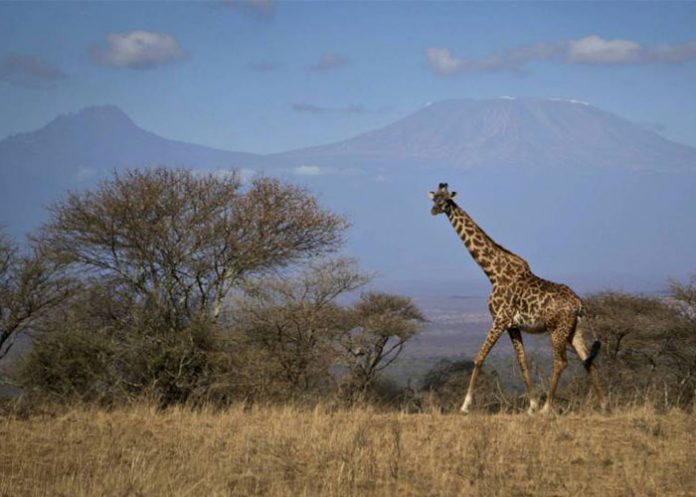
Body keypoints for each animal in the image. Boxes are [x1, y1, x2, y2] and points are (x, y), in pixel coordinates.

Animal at [428, 182, 607, 414]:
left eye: (446, 200)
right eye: (434, 198)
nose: (433, 210)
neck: (493, 272)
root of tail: (579, 305)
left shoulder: (499, 319)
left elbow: (479, 358)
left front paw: (465, 405)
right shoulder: (512, 325)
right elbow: (523, 363)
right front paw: (531, 406)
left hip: (556, 330)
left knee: (561, 362)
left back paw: (547, 408)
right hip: (574, 330)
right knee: (588, 360)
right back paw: (603, 405)